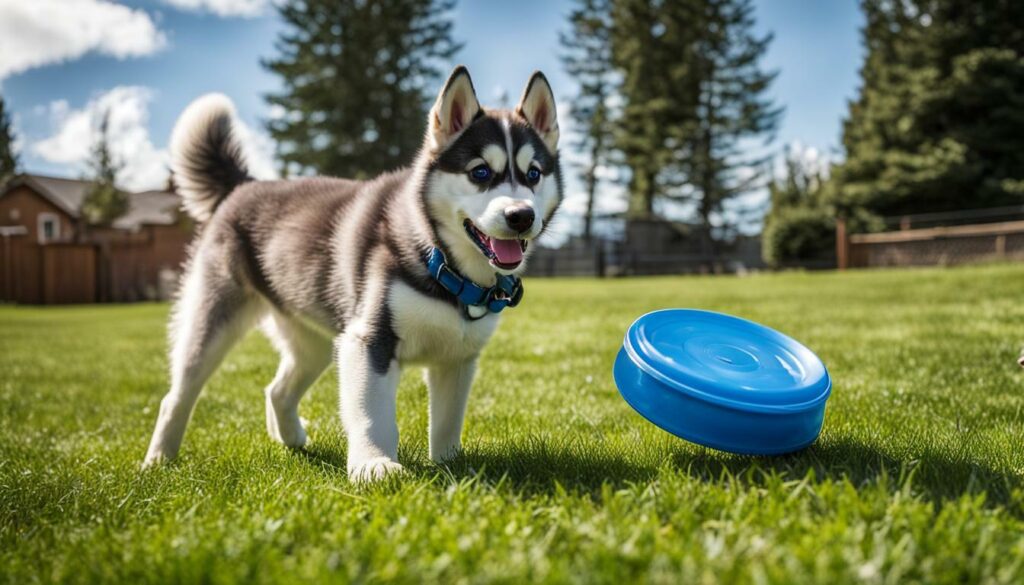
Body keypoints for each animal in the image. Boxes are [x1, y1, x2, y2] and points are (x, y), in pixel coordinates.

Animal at [142, 66, 561, 483]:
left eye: (533, 174)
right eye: (480, 172)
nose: (521, 216)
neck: (442, 262)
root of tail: (247, 185)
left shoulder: (458, 359)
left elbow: (446, 422)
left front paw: (452, 466)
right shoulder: (368, 340)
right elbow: (373, 415)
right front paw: (373, 464)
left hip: (314, 343)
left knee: (276, 390)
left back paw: (291, 439)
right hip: (214, 322)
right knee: (176, 395)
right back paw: (159, 459)